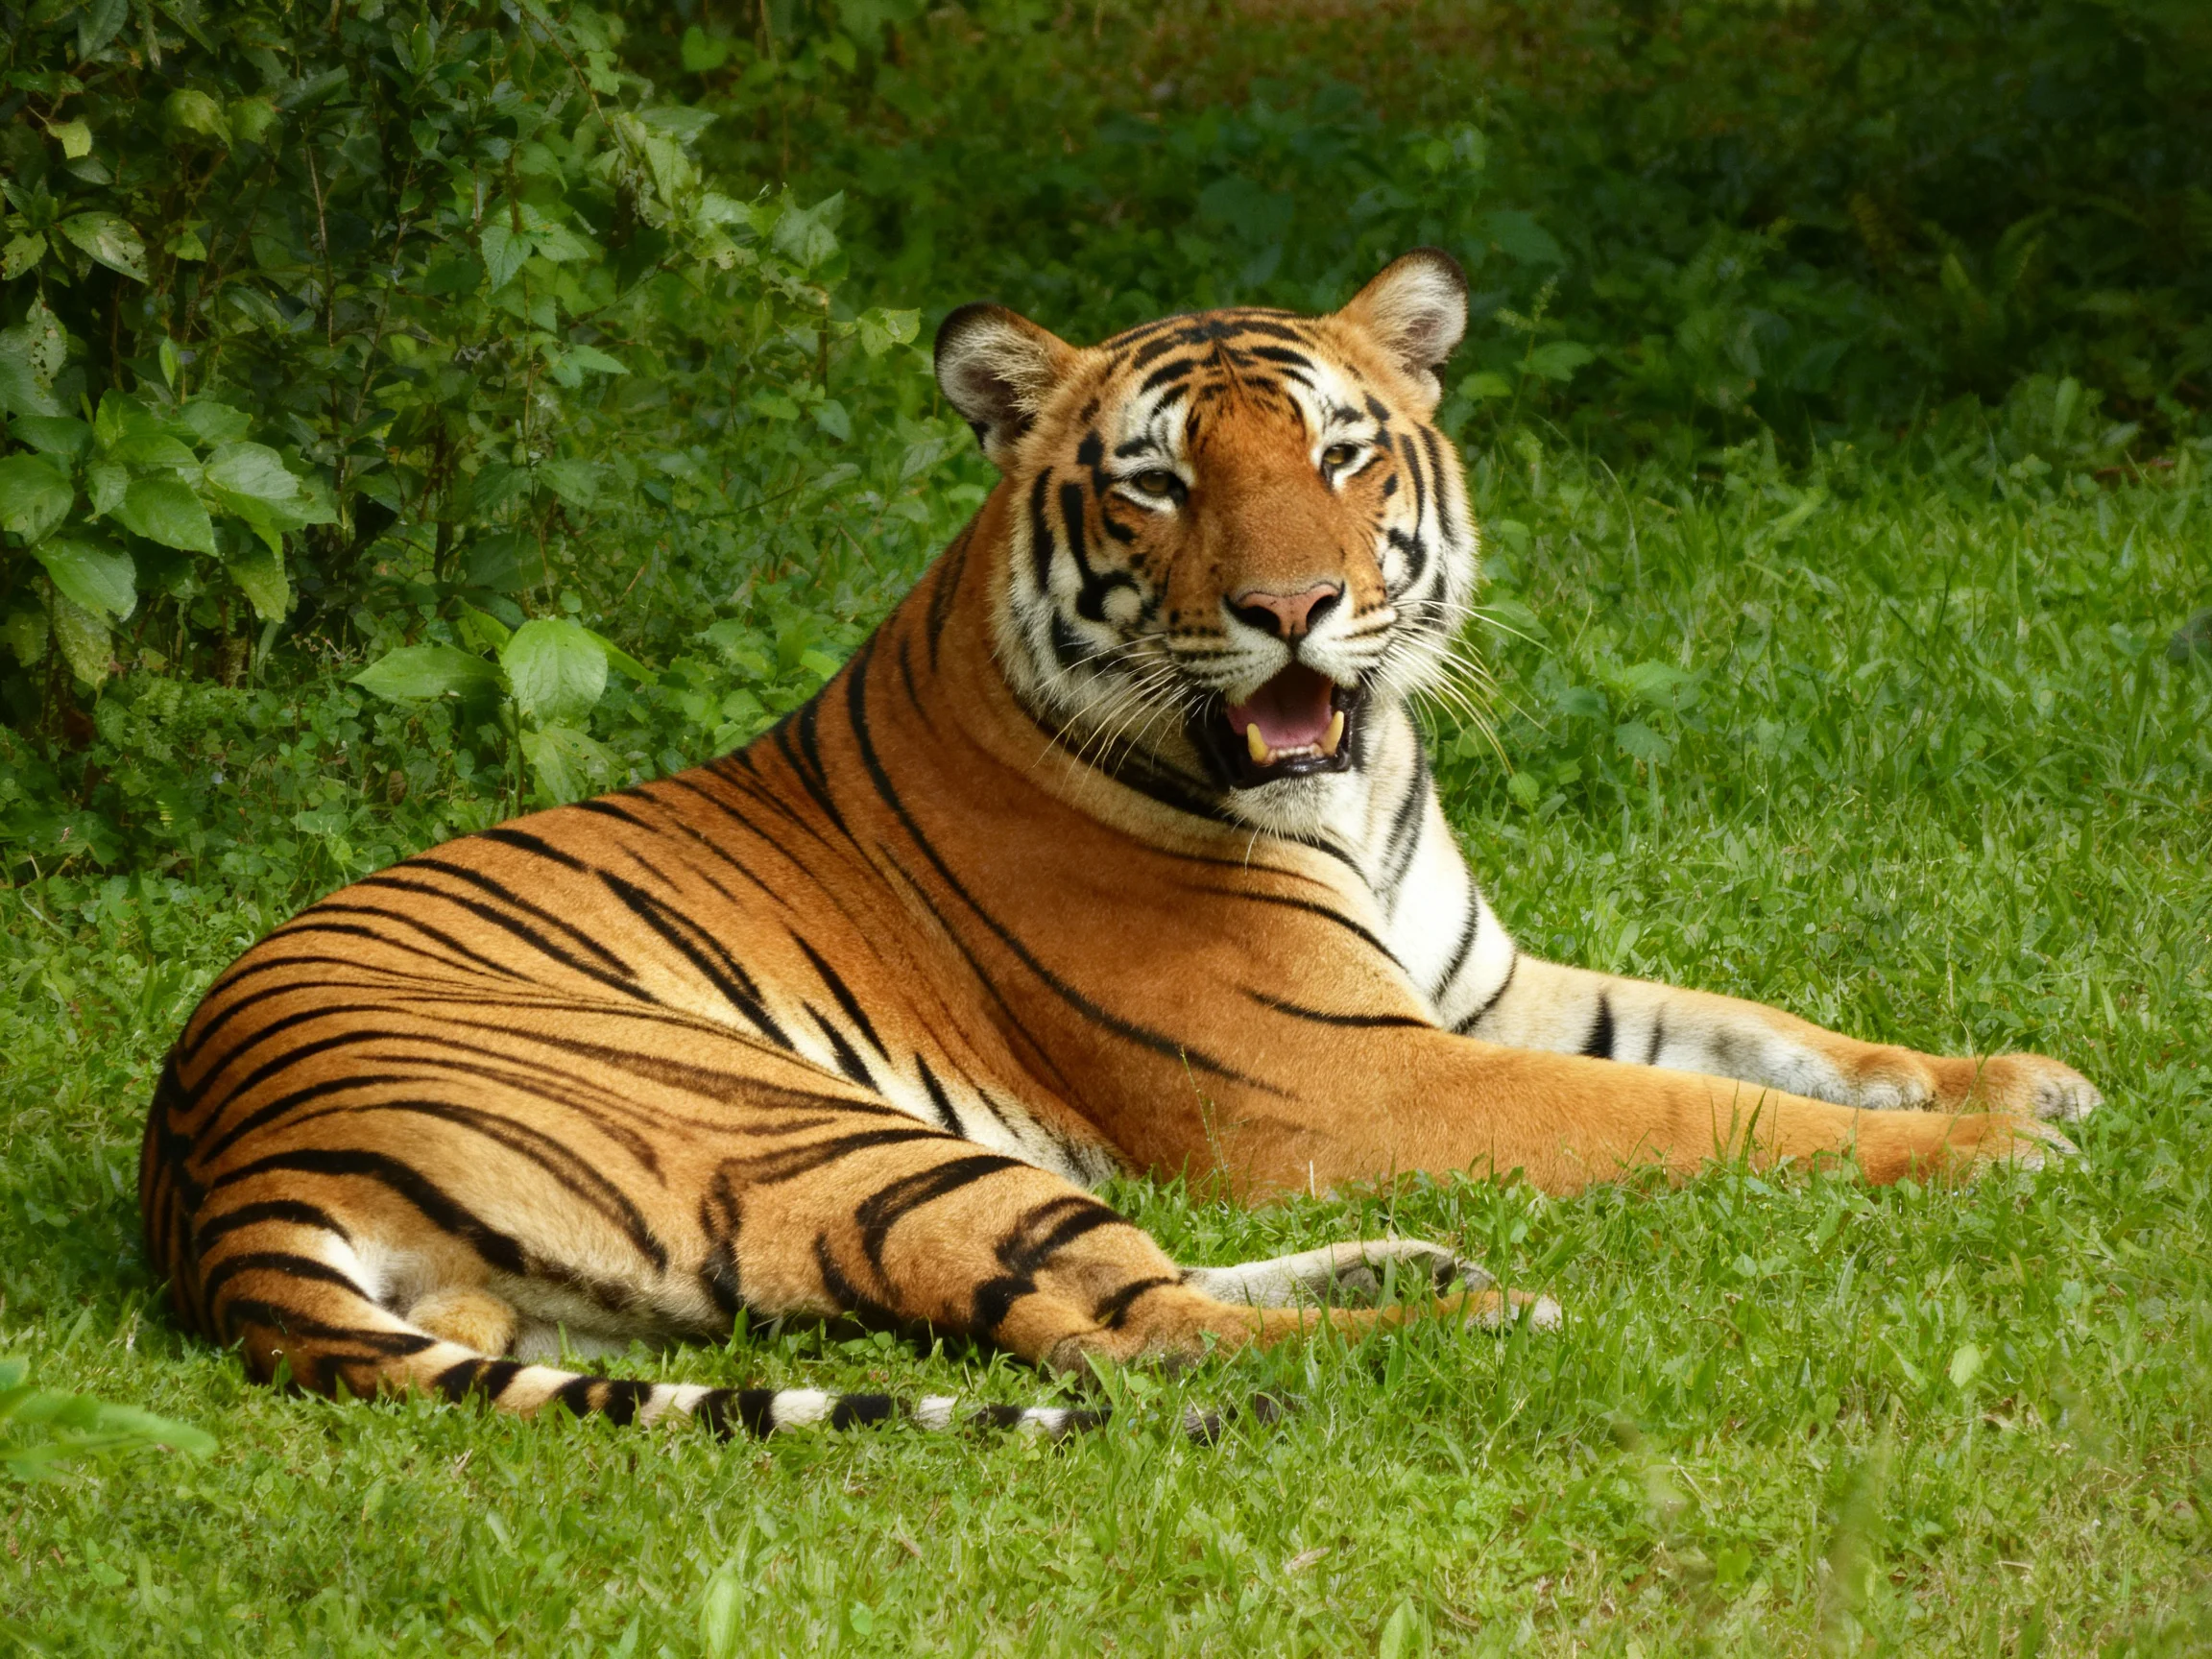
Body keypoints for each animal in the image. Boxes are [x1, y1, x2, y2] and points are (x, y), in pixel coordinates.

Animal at [139, 249, 2100, 1441]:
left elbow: (1754, 1028)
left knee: (1116, 1283)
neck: (1353, 783)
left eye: (1339, 453)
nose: (1293, 608)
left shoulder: (1475, 989)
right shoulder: (1365, 1077)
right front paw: (1998, 1153)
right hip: (820, 1127)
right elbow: (1705, 1112)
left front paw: (2015, 1078)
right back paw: (1478, 1321)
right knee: (1121, 1331)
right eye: (1157, 481)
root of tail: (217, 1179)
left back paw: (1419, 1267)